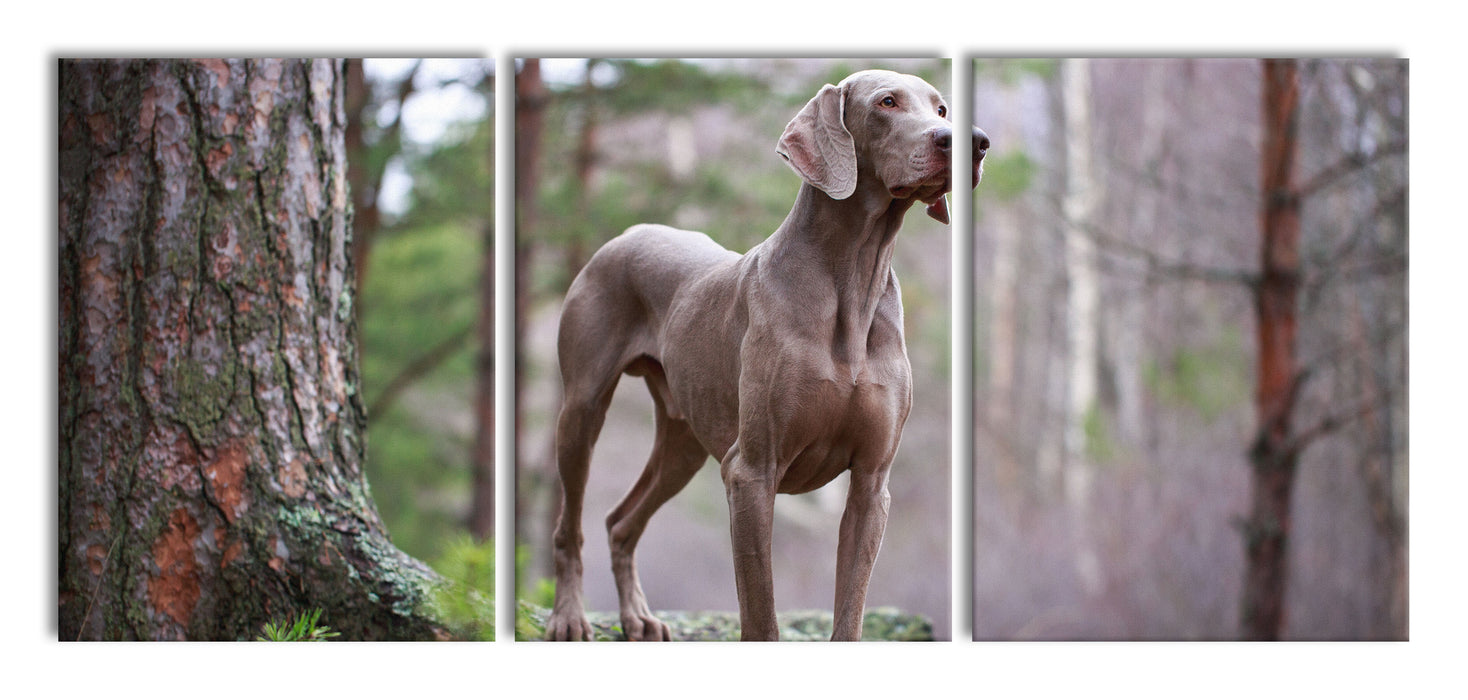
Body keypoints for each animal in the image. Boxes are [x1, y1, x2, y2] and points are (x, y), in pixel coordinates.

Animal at [540, 69, 986, 639]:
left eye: (942, 108)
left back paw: (637, 616)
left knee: (620, 521)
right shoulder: (751, 472)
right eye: (887, 102)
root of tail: (629, 232)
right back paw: (570, 616)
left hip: (685, 441)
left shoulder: (871, 484)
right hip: (582, 411)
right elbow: (760, 612)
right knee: (569, 525)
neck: (852, 280)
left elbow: (850, 613)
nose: (974, 141)